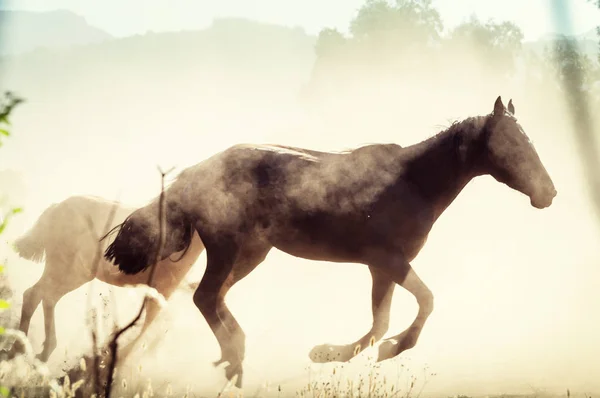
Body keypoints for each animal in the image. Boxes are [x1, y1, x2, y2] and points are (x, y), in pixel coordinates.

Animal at [11, 194, 206, 362]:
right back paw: (21, 349)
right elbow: (146, 327)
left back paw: (37, 350)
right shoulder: (162, 292)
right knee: (37, 295)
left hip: (68, 273)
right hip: (70, 271)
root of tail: (57, 207)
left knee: (44, 297)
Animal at [103, 97, 556, 388]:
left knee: (213, 297)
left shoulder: (381, 268)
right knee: (205, 296)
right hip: (228, 249)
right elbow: (423, 303)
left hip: (252, 253)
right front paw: (390, 349)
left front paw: (330, 353)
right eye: (514, 146)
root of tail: (199, 171)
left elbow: (379, 323)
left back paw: (238, 353)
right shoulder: (390, 261)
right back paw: (234, 357)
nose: (549, 193)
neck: (414, 182)